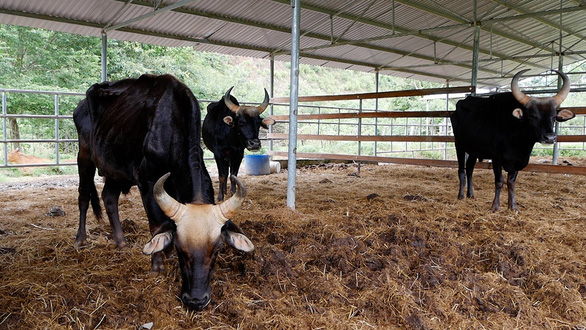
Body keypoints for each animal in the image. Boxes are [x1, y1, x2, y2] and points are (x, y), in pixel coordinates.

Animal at [73, 74, 253, 310]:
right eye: (180, 248)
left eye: (217, 249)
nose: (196, 300)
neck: (170, 127)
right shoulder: (147, 182)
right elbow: (156, 224)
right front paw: (157, 265)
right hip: (84, 156)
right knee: (84, 196)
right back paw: (80, 240)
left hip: (115, 170)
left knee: (109, 198)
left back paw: (121, 243)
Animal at [450, 69, 572, 211]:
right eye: (532, 115)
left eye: (554, 117)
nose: (550, 137)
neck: (517, 142)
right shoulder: (496, 158)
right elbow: (499, 181)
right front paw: (495, 206)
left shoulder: (518, 161)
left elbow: (511, 182)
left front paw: (512, 206)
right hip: (459, 145)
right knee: (461, 170)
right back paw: (461, 195)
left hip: (474, 150)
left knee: (469, 169)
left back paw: (471, 194)